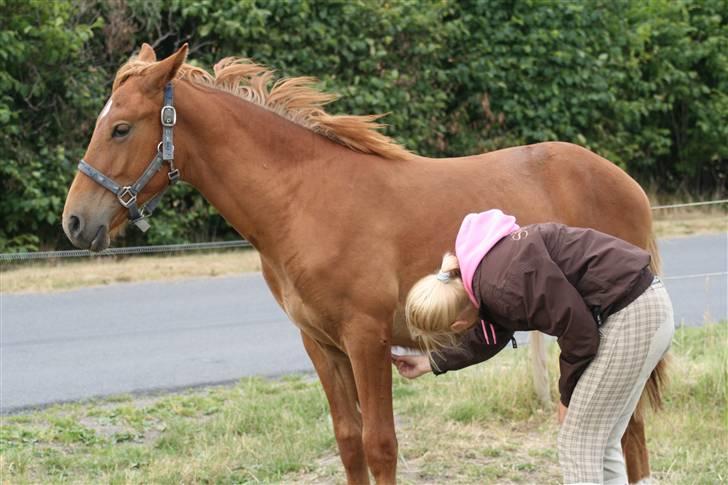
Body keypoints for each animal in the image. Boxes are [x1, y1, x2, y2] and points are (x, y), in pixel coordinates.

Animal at [64, 44, 664, 480]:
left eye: (121, 127)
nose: (74, 222)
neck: (304, 200)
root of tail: (626, 182)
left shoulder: (365, 340)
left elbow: (381, 445)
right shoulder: (321, 345)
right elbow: (350, 442)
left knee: (626, 437)